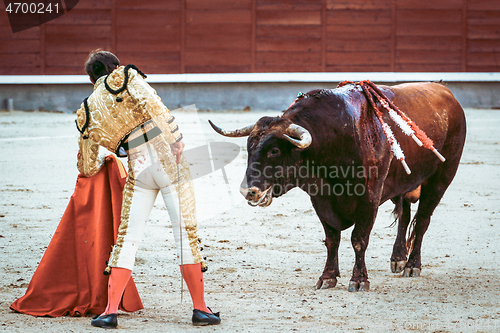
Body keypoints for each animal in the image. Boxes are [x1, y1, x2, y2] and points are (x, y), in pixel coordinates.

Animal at [209, 81, 466, 290]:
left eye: (274, 150)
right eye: (249, 147)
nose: (248, 191)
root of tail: (444, 90)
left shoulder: (370, 197)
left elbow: (359, 239)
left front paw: (359, 280)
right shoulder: (321, 199)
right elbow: (332, 239)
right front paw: (327, 277)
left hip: (441, 178)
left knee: (422, 221)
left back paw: (412, 265)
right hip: (404, 182)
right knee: (404, 214)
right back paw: (398, 259)